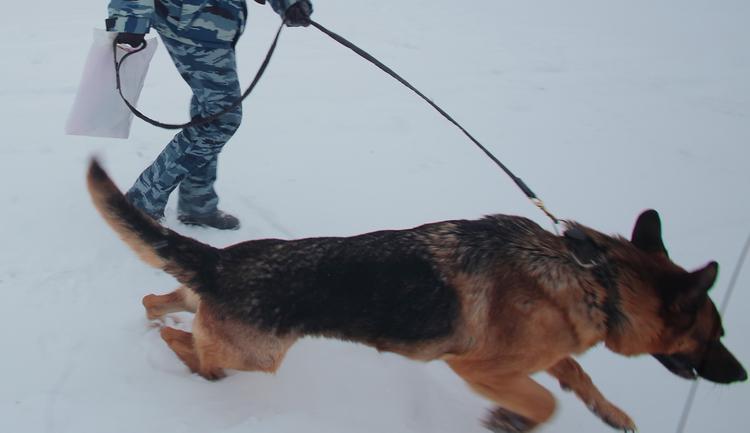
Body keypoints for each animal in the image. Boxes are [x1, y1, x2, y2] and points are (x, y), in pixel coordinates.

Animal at [86, 160, 748, 430]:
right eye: (715, 334)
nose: (741, 375)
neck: (593, 278)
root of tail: (220, 260)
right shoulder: (480, 367)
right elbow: (545, 400)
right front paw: (512, 420)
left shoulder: (540, 353)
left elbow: (577, 376)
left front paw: (611, 413)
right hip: (255, 355)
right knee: (190, 348)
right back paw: (191, 376)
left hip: (201, 302)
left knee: (158, 305)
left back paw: (159, 327)